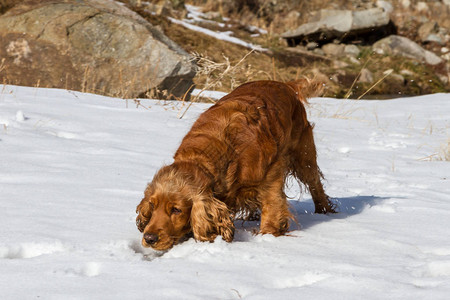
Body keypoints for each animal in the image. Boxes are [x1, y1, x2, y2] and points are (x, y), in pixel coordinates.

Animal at [136, 78, 334, 250]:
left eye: (176, 210)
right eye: (152, 205)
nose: (149, 238)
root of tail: (285, 84)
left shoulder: (271, 175)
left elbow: (272, 208)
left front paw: (268, 236)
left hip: (303, 155)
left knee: (315, 183)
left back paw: (324, 210)